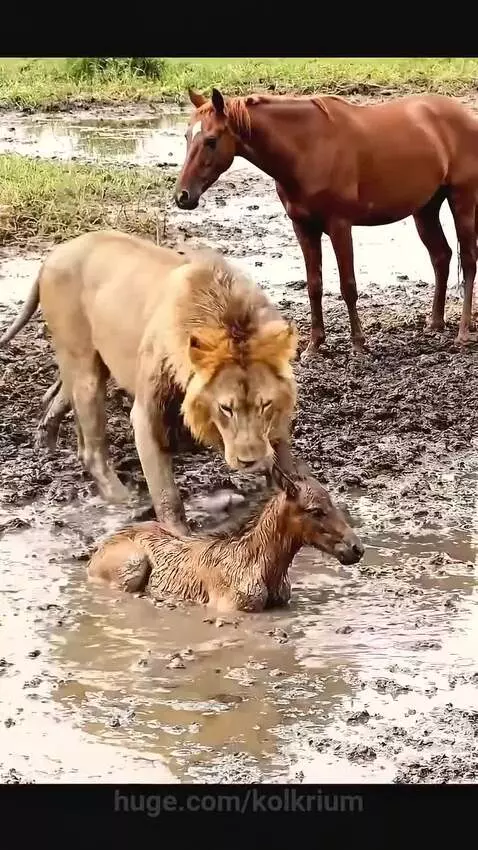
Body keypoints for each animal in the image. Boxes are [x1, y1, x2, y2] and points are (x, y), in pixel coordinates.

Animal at [0, 230, 299, 531]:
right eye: (226, 408)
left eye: (265, 405)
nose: (250, 460)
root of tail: (53, 256)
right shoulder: (147, 414)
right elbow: (167, 496)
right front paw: (178, 536)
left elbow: (291, 467)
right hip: (83, 363)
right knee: (91, 448)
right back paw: (123, 499)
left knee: (57, 398)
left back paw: (45, 447)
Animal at [175, 87, 478, 359]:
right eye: (187, 136)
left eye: (211, 140)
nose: (183, 196)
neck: (307, 148)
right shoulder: (303, 228)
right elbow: (314, 285)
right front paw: (314, 346)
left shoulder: (339, 225)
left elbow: (348, 285)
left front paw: (358, 345)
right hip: (425, 210)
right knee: (441, 257)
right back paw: (435, 324)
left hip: (462, 201)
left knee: (469, 261)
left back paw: (463, 333)